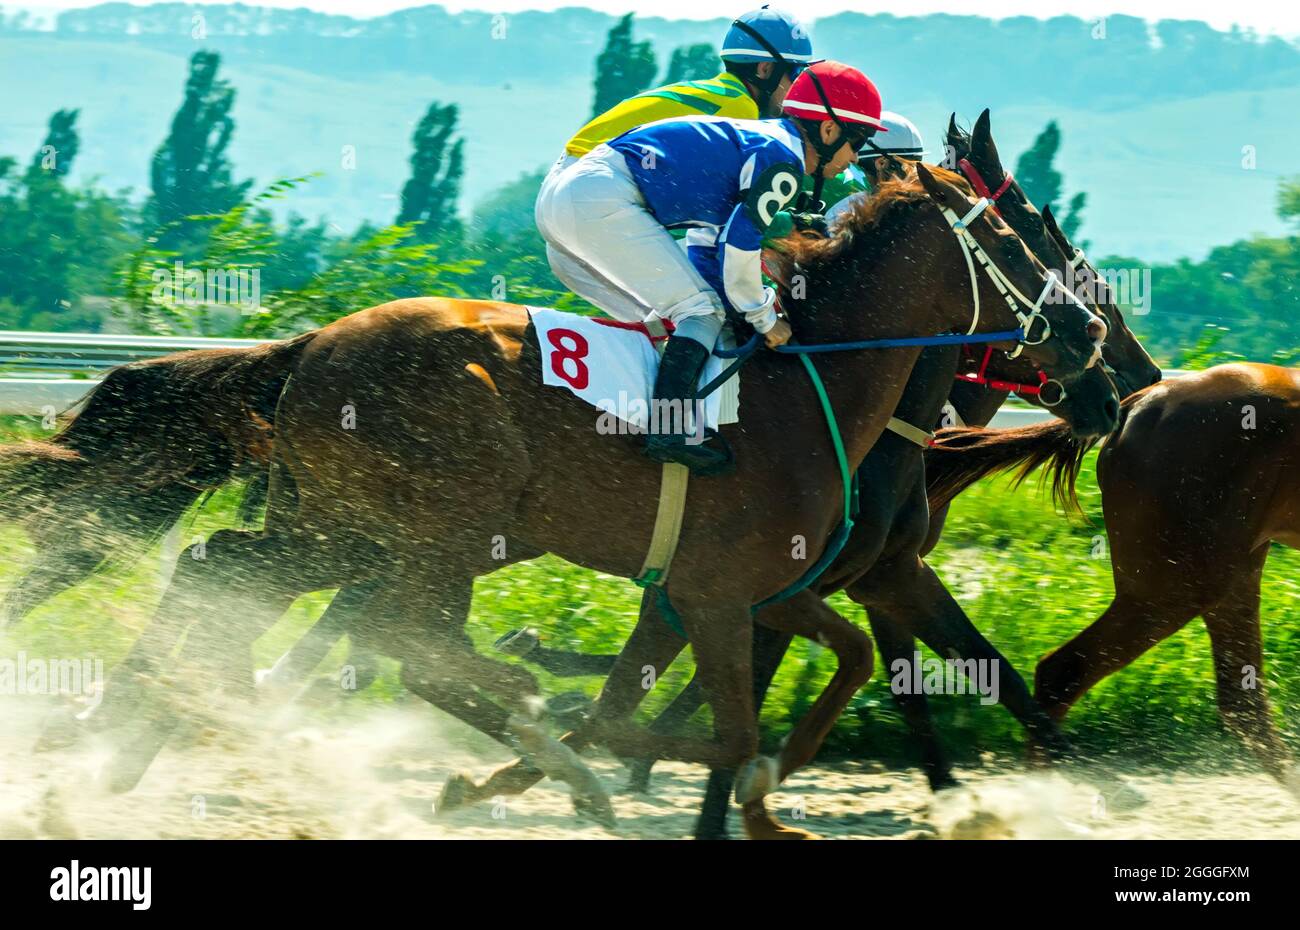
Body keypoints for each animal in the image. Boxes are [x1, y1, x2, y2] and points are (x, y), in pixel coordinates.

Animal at [0, 163, 1118, 842]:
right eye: (1020, 237)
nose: (1100, 357)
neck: (816, 385)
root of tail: (313, 346)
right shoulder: (712, 596)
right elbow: (697, 725)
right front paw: (596, 753)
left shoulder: (766, 590)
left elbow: (824, 673)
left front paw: (761, 798)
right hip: (433, 526)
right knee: (406, 643)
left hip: (343, 527)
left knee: (224, 568)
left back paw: (127, 747)